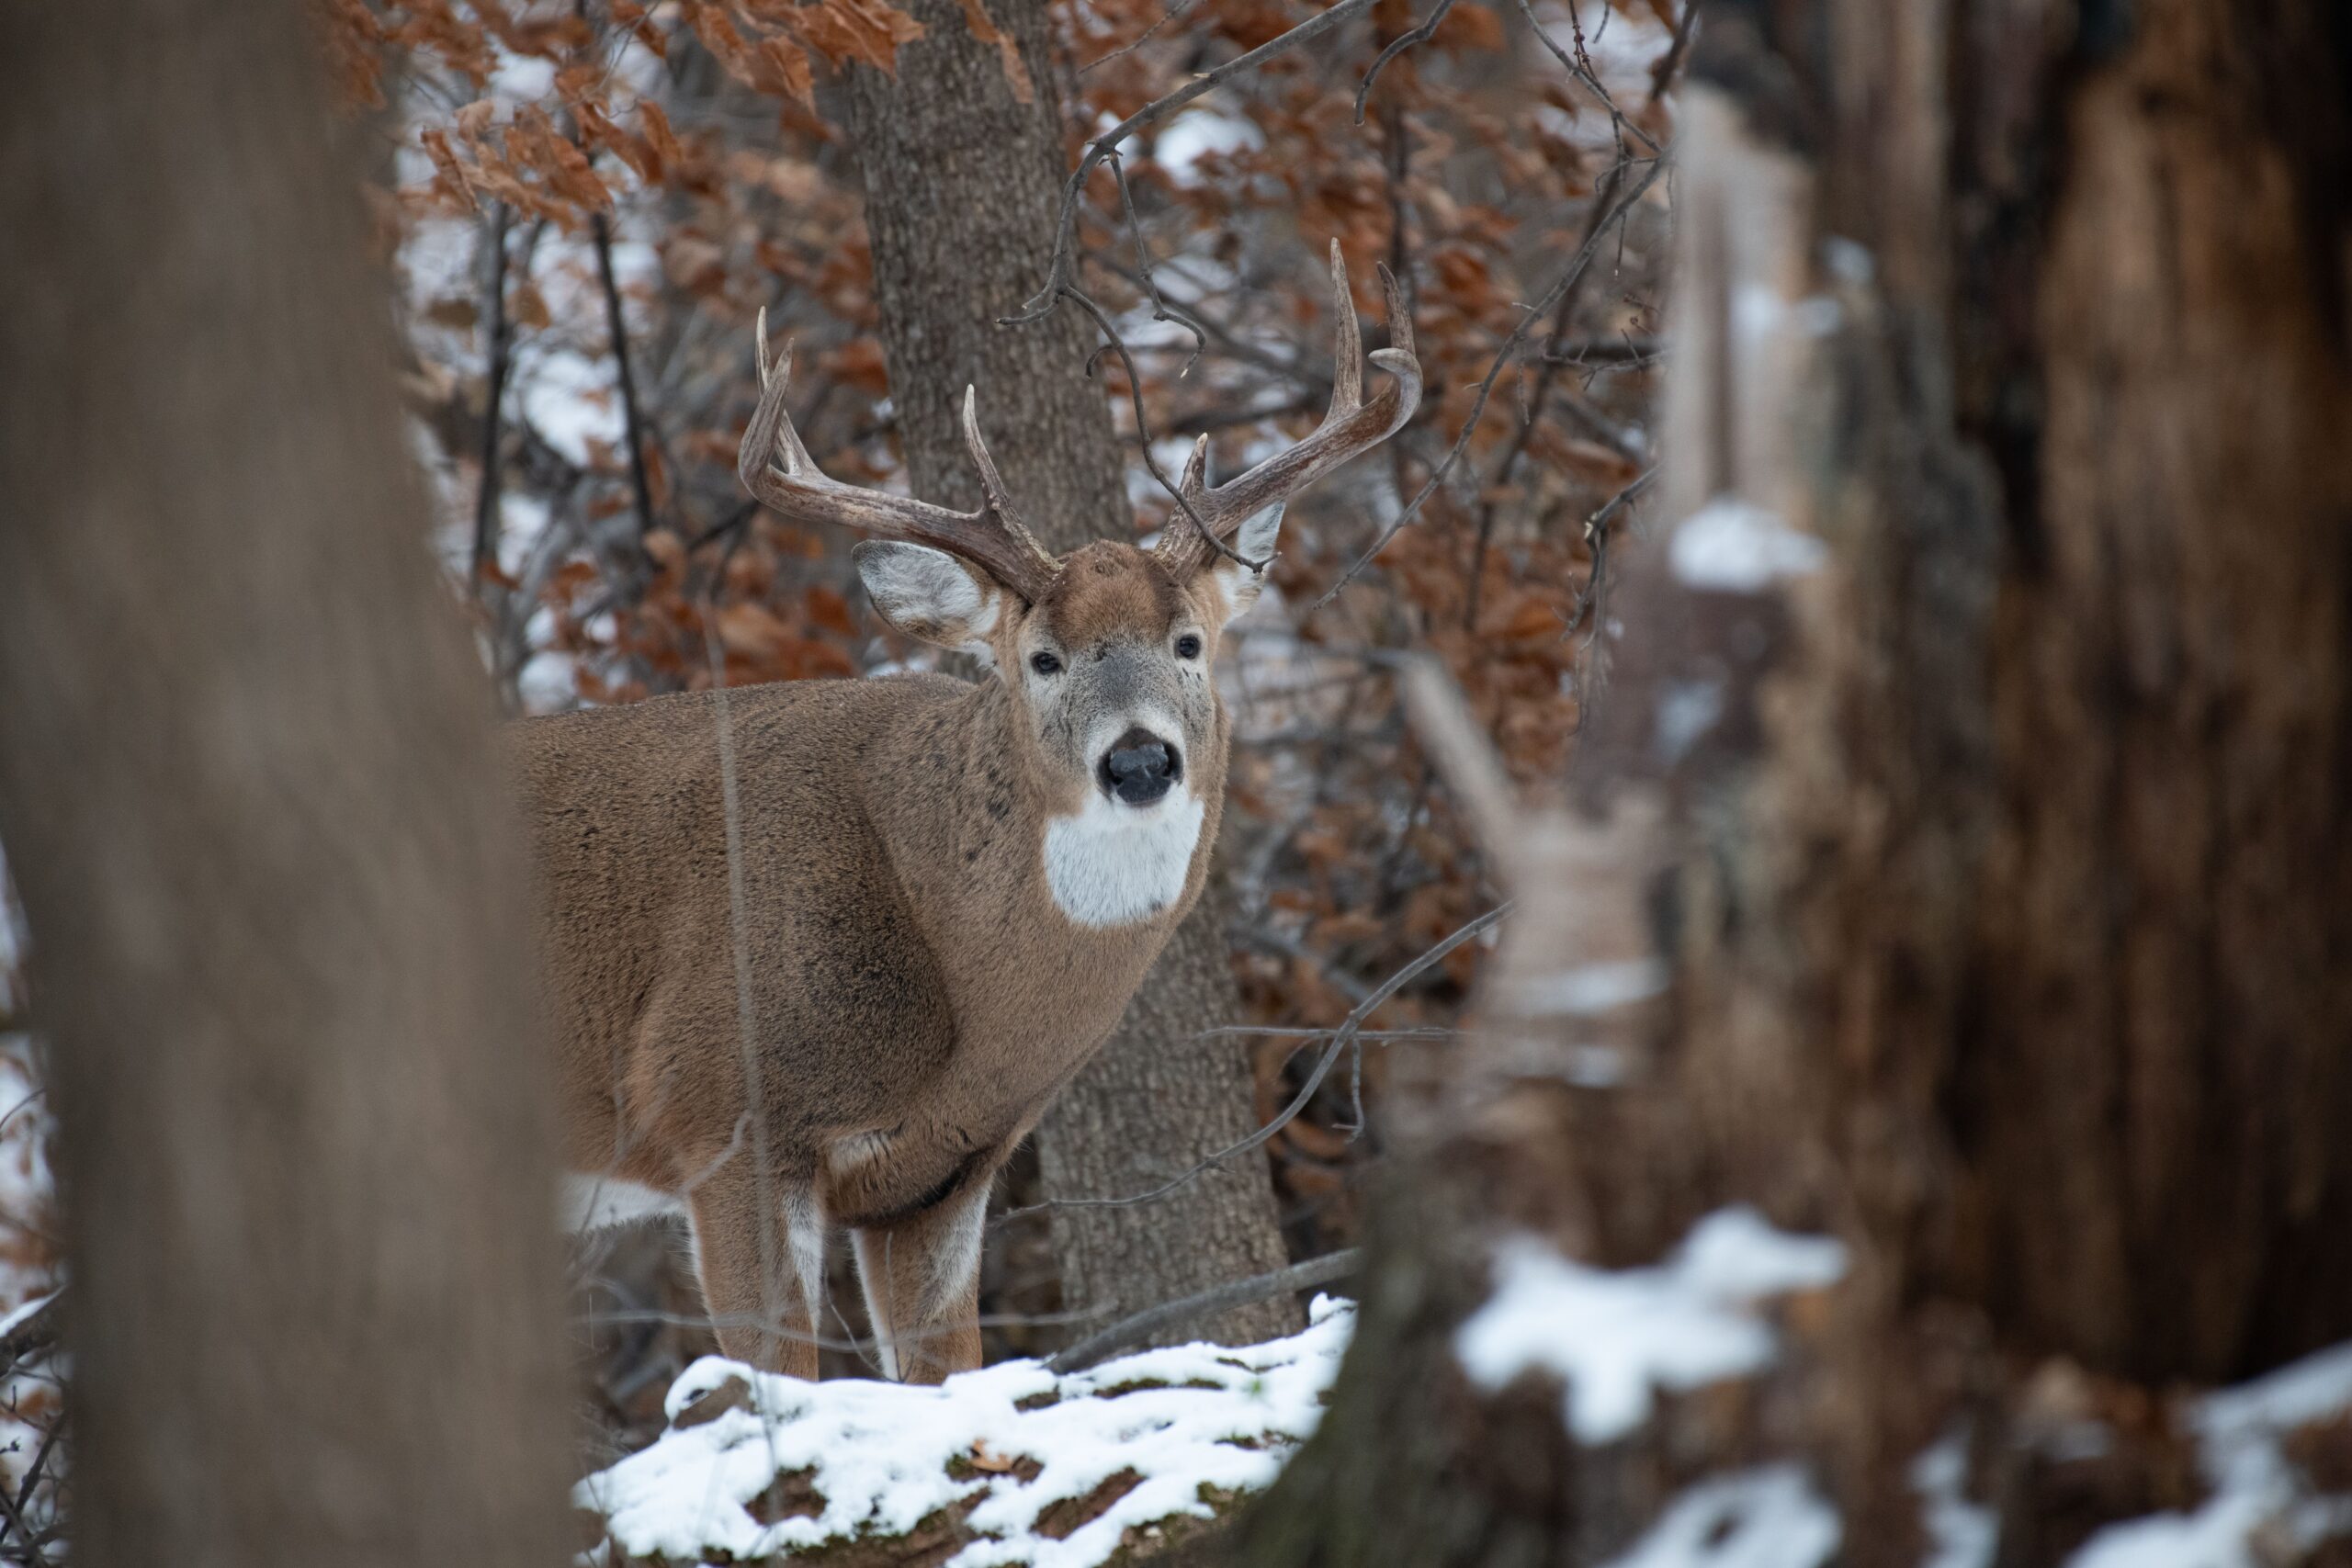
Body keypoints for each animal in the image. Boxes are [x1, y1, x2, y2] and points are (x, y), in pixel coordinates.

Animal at [510, 246, 1419, 1385]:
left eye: (1188, 643)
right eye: (1043, 659)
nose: (1138, 759)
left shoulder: (941, 1176)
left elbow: (949, 1374)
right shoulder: (717, 1111)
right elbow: (771, 1380)